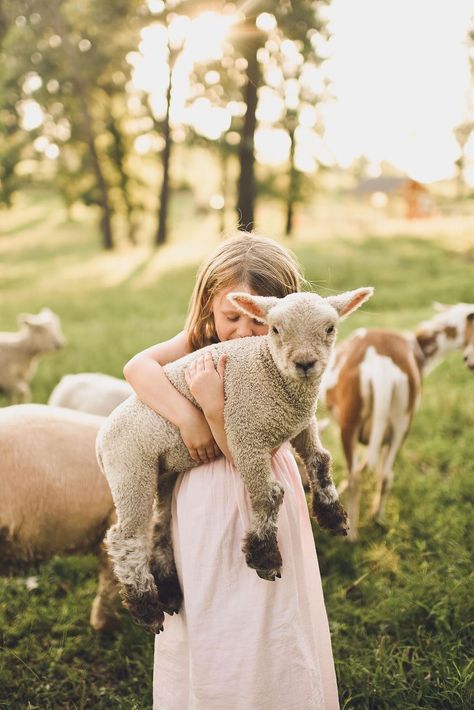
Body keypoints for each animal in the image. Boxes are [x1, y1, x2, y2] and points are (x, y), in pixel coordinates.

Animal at [96, 286, 374, 636]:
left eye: (330, 328)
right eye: (275, 329)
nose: (305, 363)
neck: (271, 375)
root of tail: (100, 440)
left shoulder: (301, 425)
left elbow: (321, 460)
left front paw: (333, 515)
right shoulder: (243, 435)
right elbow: (269, 495)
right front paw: (265, 557)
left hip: (163, 474)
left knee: (159, 526)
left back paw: (169, 591)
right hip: (130, 470)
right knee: (126, 537)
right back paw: (146, 607)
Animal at [320, 304, 474, 544]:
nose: (468, 359)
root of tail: (381, 367)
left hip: (349, 424)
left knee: (356, 476)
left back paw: (351, 534)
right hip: (401, 425)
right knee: (385, 474)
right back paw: (377, 518)